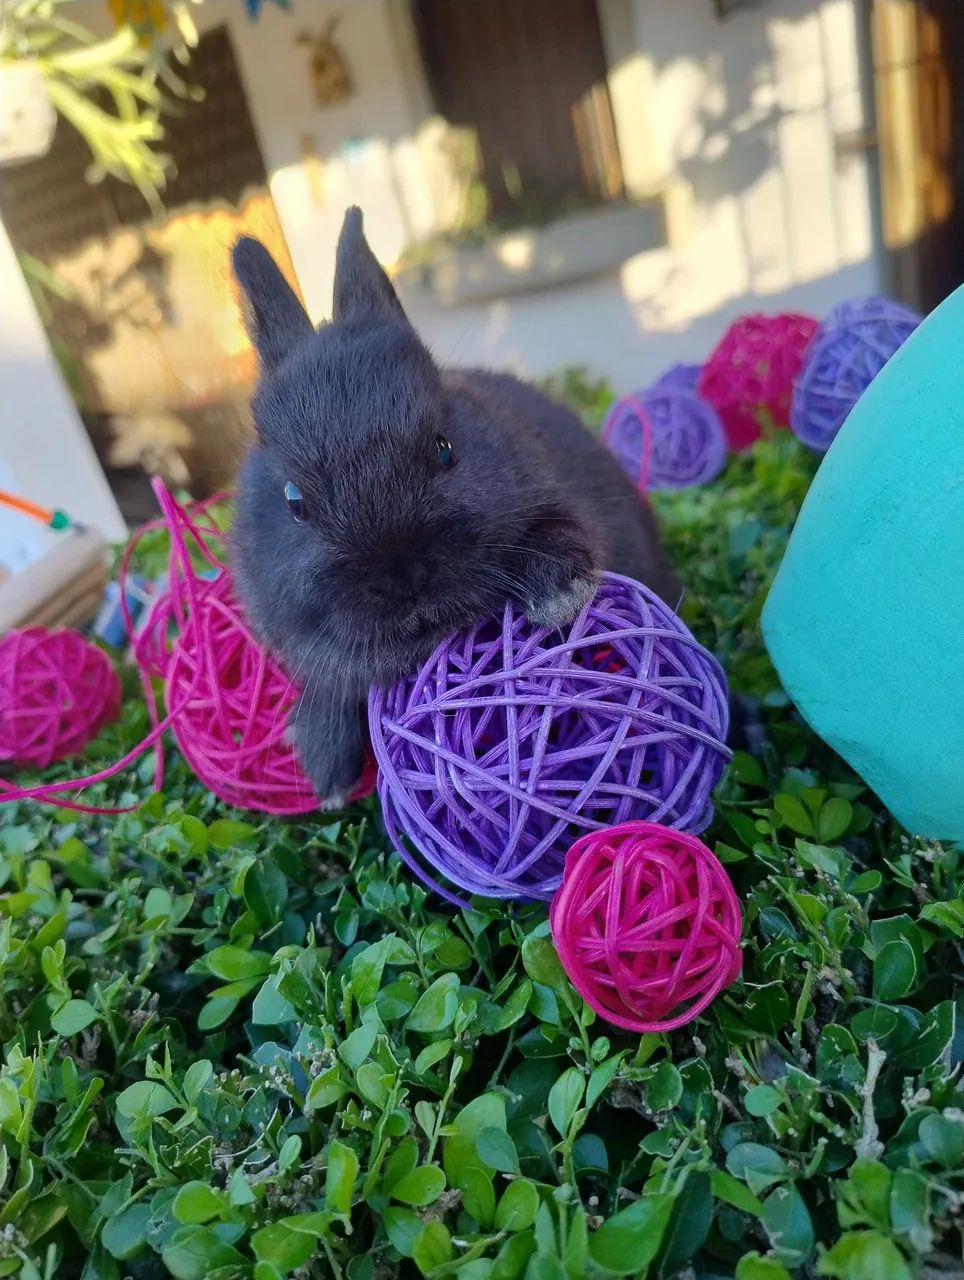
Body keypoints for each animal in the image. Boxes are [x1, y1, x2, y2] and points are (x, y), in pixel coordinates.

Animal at [230, 207, 681, 806]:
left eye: (444, 448)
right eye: (294, 502)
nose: (403, 575)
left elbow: (562, 532)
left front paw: (561, 593)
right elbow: (328, 681)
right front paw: (326, 773)